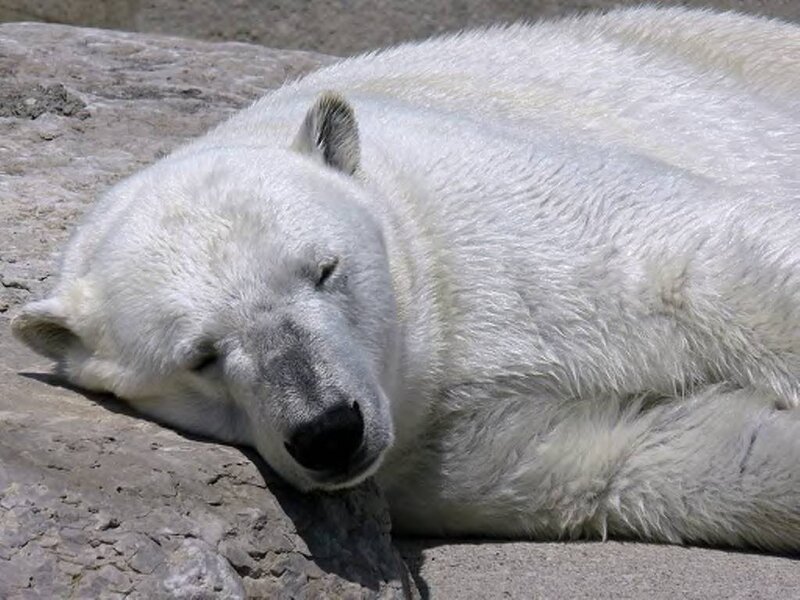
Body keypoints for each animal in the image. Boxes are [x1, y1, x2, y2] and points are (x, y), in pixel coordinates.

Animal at [11, 6, 800, 551]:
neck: (432, 348)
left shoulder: (492, 212)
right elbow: (638, 453)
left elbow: (706, 266)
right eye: (200, 356)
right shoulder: (446, 454)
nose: (329, 431)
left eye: (324, 270)